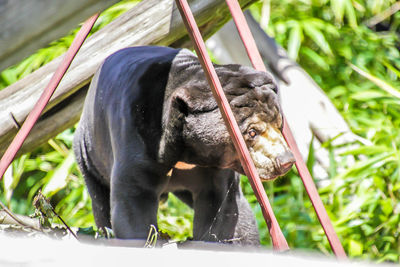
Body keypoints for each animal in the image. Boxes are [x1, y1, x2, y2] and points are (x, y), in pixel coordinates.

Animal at [73, 45, 296, 245]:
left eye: (279, 123)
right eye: (252, 132)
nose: (286, 161)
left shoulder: (216, 168)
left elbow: (222, 207)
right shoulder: (138, 140)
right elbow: (133, 203)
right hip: (88, 155)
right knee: (101, 201)